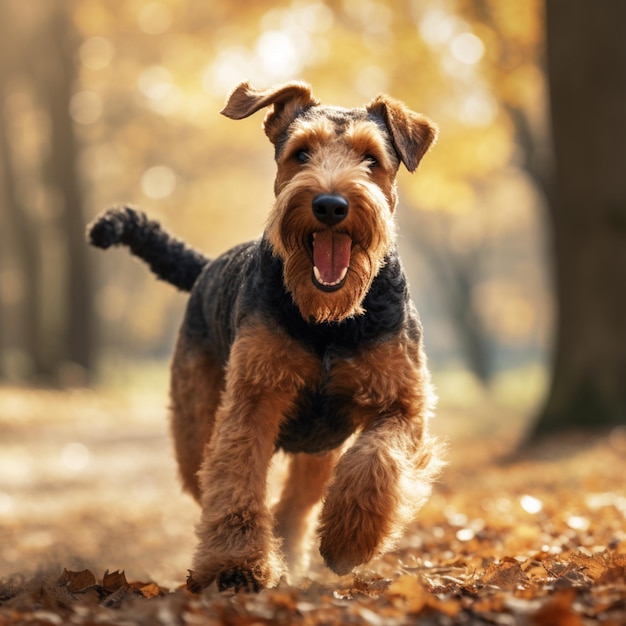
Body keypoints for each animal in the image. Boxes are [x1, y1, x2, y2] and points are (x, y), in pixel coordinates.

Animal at [88, 79, 442, 588]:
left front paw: (348, 541)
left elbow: (377, 460)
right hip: (196, 427)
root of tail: (205, 266)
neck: (327, 321)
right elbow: (237, 480)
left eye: (372, 158)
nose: (330, 205)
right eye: (301, 153)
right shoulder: (255, 395)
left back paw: (294, 554)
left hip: (319, 448)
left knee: (294, 504)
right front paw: (236, 565)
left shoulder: (401, 399)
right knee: (216, 484)